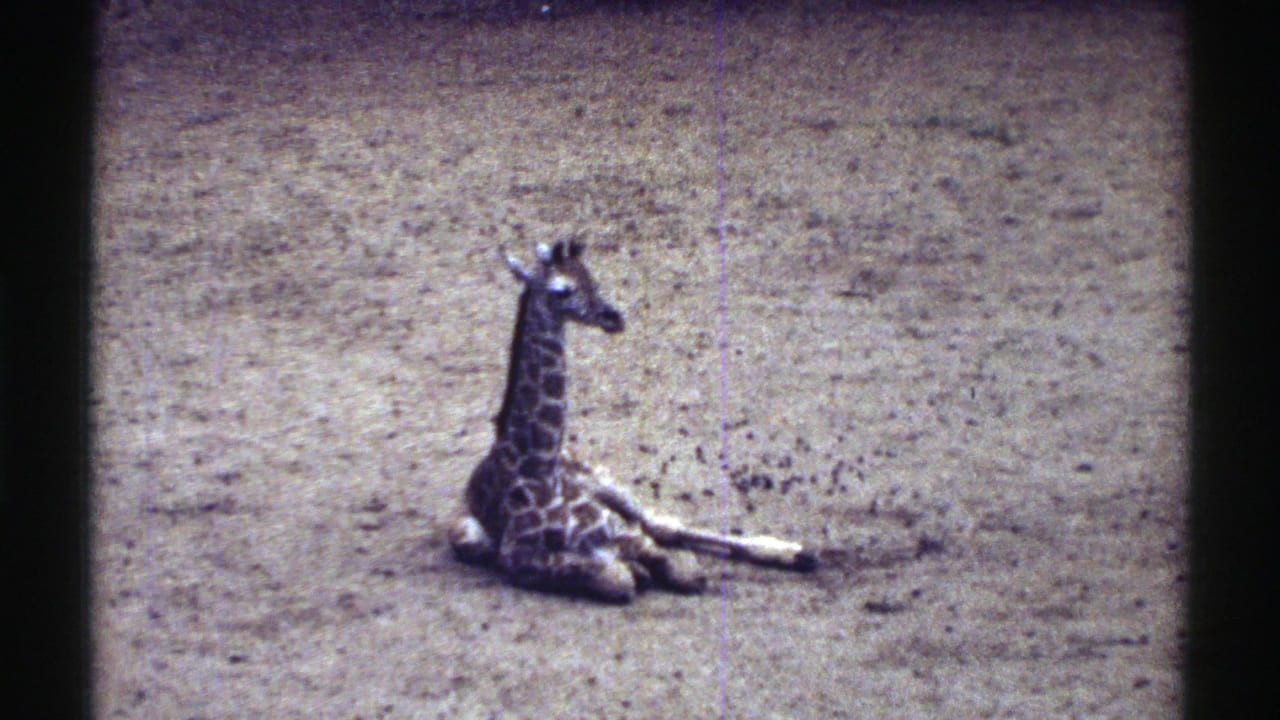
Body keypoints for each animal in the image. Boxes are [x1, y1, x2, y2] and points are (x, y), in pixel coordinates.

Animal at [449, 239, 817, 602]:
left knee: (659, 523)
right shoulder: (518, 558)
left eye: (591, 279)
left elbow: (678, 569)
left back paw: (798, 553)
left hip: (605, 481)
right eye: (561, 290)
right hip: (469, 537)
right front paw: (633, 571)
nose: (613, 317)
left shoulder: (622, 531)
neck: (538, 466)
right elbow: (619, 578)